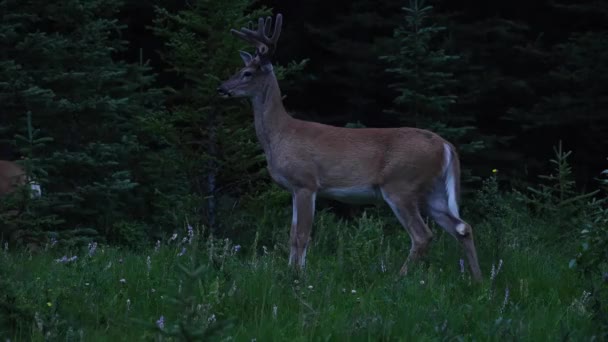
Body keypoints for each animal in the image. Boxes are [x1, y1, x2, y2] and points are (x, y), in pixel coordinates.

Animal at [216, 13, 482, 280]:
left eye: (247, 73)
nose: (222, 88)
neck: (280, 135)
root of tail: (445, 145)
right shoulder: (293, 189)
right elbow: (292, 235)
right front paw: (290, 272)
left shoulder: (306, 182)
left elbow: (302, 236)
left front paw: (298, 276)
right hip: (432, 191)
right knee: (462, 227)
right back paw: (478, 280)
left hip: (401, 184)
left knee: (423, 235)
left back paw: (399, 277)